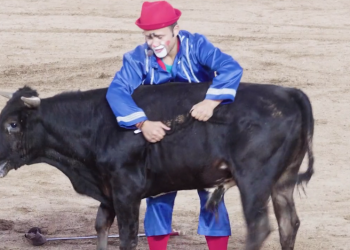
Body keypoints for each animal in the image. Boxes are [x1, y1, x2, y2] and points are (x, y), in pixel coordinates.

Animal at [0, 81, 314, 249]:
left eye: (12, 124)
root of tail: (289, 93)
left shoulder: (126, 190)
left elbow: (127, 237)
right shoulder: (108, 190)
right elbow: (101, 225)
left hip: (253, 181)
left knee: (258, 228)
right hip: (282, 181)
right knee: (289, 223)